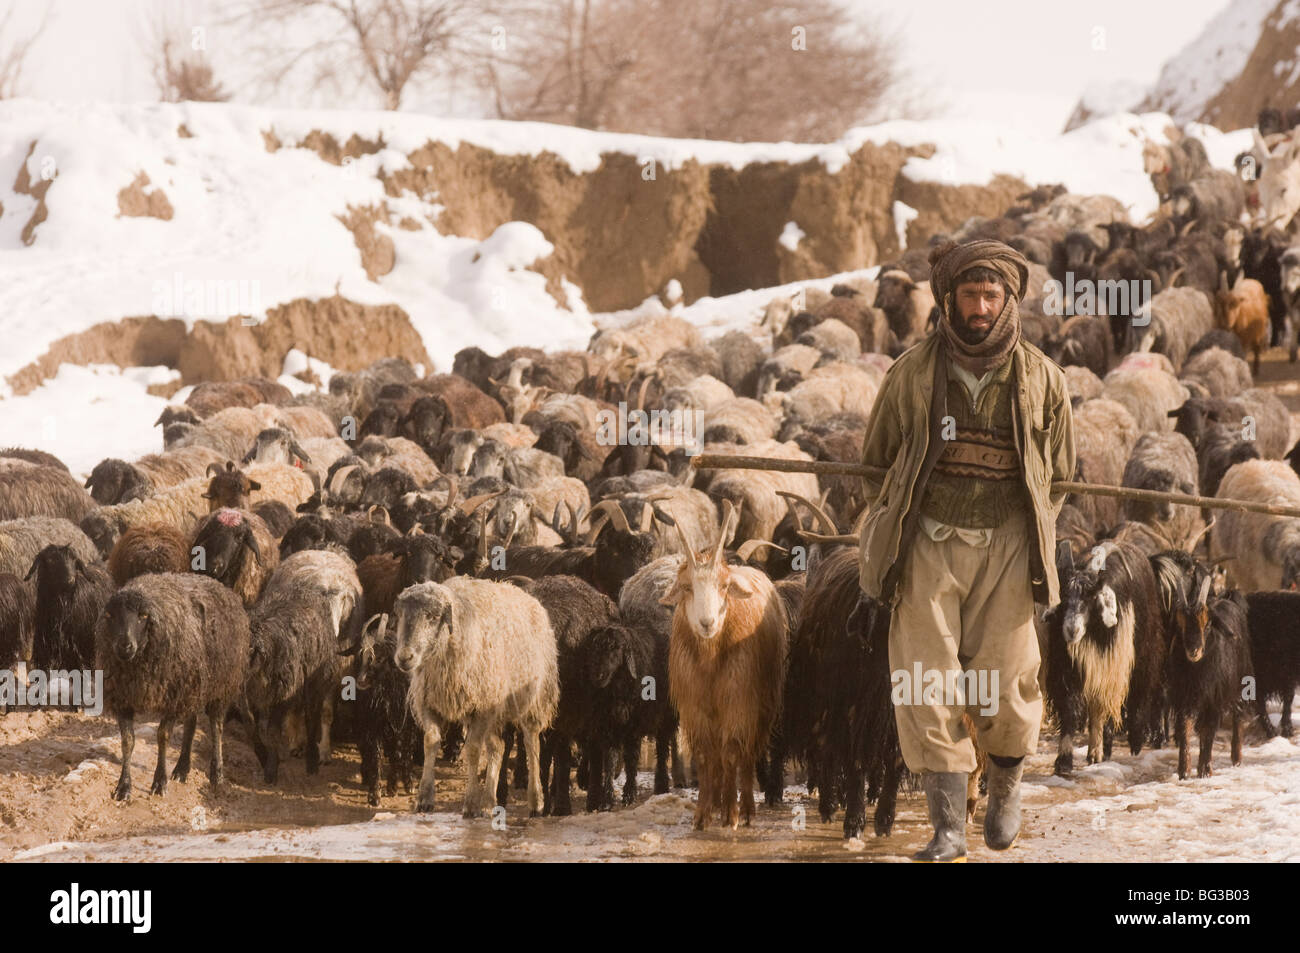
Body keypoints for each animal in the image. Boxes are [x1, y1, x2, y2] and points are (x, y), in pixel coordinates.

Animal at [665, 501, 785, 826]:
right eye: (687, 587)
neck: (710, 662)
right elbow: (706, 757)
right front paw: (702, 815)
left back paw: (746, 809)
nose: (707, 622)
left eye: (725, 586)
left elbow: (732, 754)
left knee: (747, 754)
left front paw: (731, 814)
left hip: (762, 707)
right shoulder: (695, 708)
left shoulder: (739, 703)